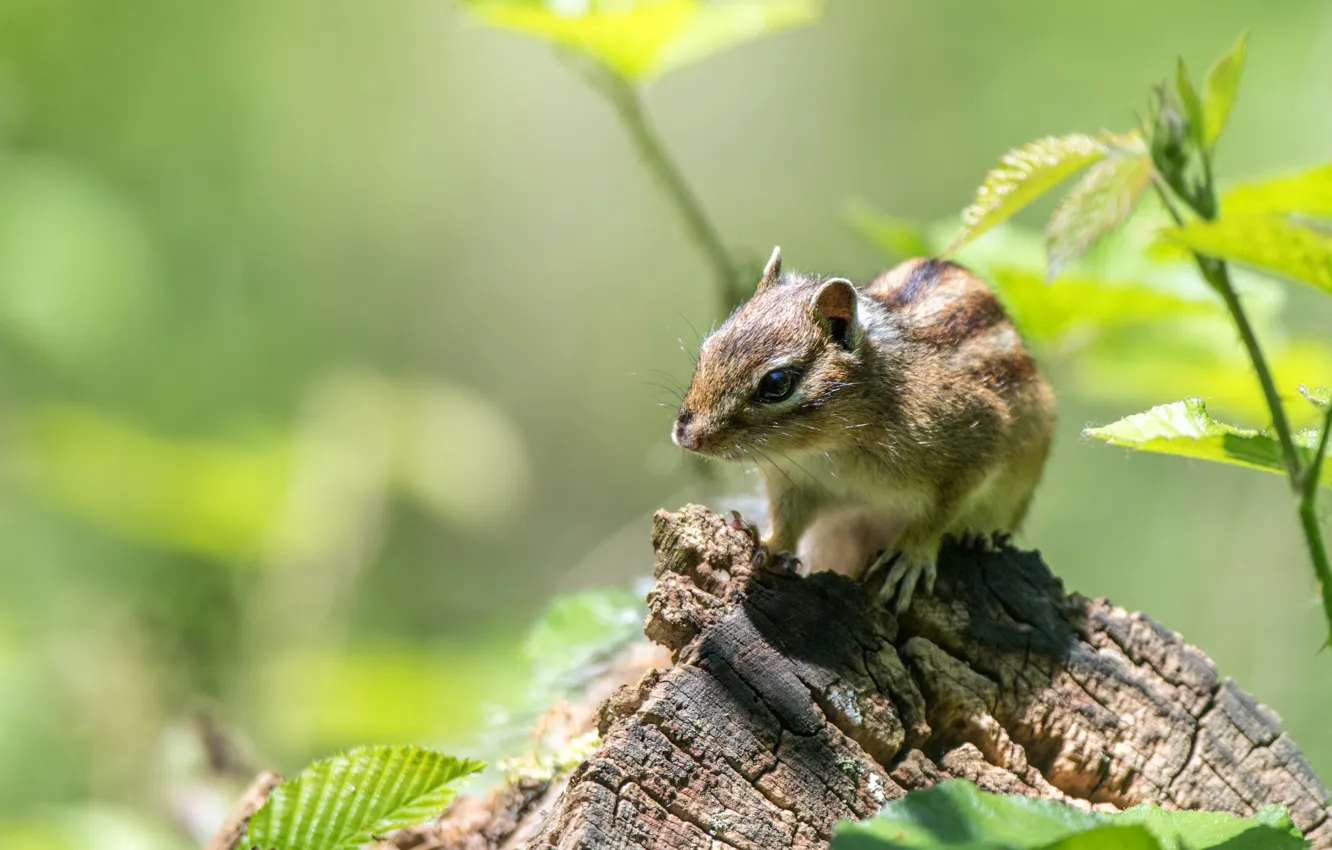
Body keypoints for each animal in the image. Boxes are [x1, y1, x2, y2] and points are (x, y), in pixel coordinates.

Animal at [672, 246, 1056, 613]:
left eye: (777, 383)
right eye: (707, 349)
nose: (686, 436)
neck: (829, 447)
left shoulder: (977, 437)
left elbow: (939, 512)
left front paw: (911, 557)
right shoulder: (793, 480)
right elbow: (787, 520)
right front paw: (767, 545)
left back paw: (980, 535)